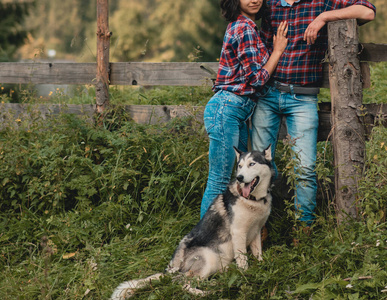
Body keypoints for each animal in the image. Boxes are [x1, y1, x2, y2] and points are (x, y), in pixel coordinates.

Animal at [110, 145, 276, 298]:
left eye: (252, 164)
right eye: (240, 166)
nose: (240, 177)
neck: (252, 200)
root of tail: (171, 267)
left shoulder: (256, 231)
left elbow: (258, 255)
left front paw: (262, 268)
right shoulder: (239, 233)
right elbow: (243, 261)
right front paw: (246, 278)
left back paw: (216, 283)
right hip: (207, 259)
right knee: (182, 283)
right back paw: (206, 293)